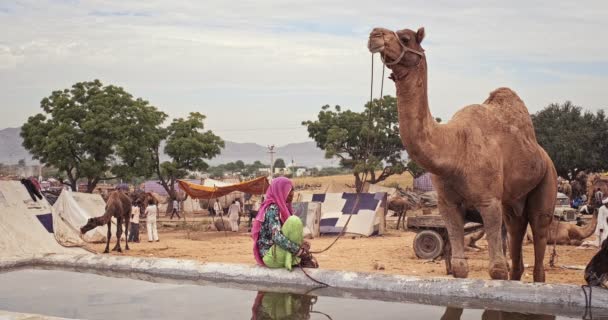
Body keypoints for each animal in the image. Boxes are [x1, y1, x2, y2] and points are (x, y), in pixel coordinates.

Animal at [368, 27, 560, 282]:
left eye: (405, 37)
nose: (375, 34)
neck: (455, 148)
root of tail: (544, 156)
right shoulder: (447, 203)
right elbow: (459, 267)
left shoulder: (489, 201)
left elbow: (497, 270)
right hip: (513, 203)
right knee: (516, 230)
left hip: (548, 180)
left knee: (539, 232)